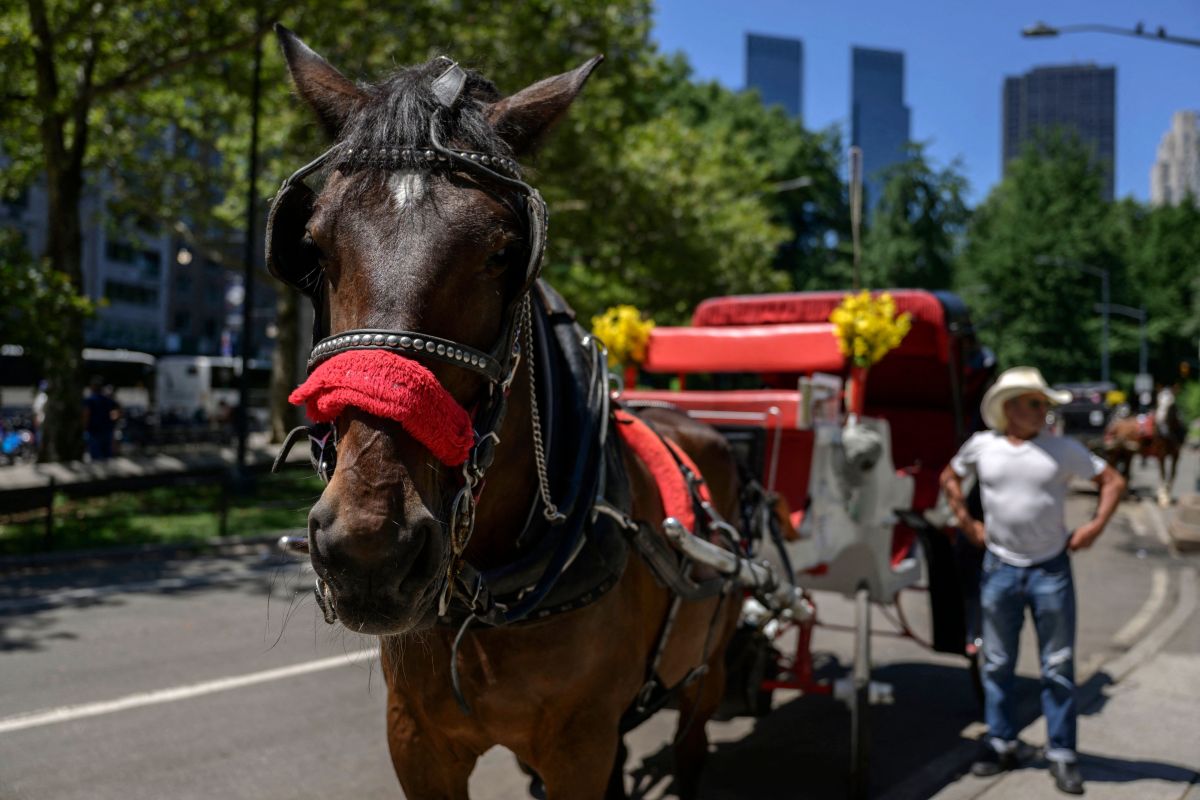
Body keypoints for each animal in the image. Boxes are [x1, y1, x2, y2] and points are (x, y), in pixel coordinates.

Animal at [271, 26, 739, 800]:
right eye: (310, 246)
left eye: (504, 251)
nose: (370, 549)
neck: (485, 597)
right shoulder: (416, 741)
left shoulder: (580, 747)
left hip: (709, 666)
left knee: (697, 732)